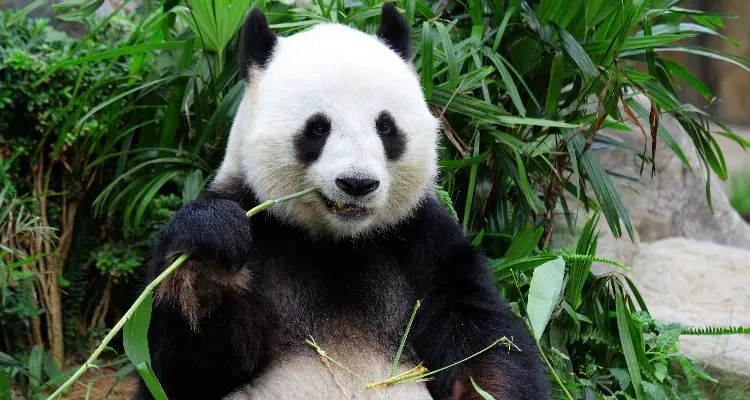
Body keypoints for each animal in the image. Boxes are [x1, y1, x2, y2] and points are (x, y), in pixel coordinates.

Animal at [132, 3, 548, 400]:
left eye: (386, 127)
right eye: (317, 128)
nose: (357, 183)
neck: (339, 244)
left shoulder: (425, 243)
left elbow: (482, 344)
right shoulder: (257, 223)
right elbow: (182, 370)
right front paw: (210, 250)